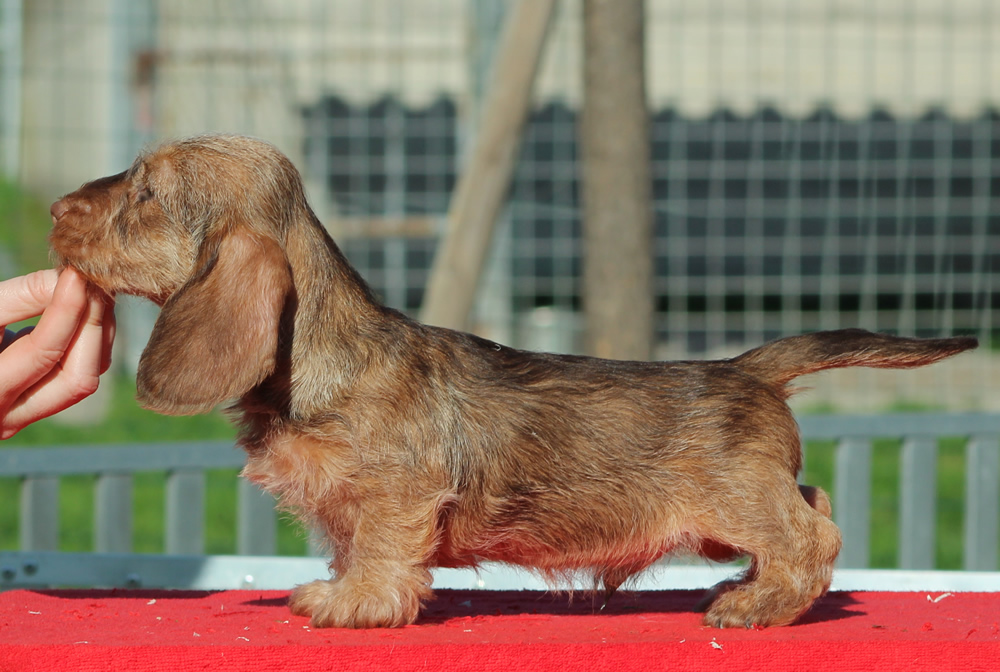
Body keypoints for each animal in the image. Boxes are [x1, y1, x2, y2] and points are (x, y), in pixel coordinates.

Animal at [48, 135, 976, 632]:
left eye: (144, 192)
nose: (55, 210)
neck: (324, 355)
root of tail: (745, 367)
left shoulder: (396, 496)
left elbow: (380, 551)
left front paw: (355, 602)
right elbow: (350, 543)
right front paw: (343, 589)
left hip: (737, 501)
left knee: (814, 536)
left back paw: (756, 606)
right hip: (738, 509)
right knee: (814, 503)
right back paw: (751, 588)